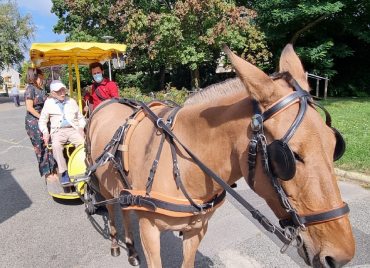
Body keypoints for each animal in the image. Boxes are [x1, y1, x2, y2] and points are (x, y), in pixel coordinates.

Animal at [87, 45, 356, 266]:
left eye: (335, 146)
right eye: (290, 157)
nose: (341, 256)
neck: (182, 165)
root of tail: (104, 105)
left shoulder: (197, 229)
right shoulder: (150, 231)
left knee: (123, 208)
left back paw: (131, 250)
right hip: (102, 181)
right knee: (111, 208)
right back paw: (117, 244)